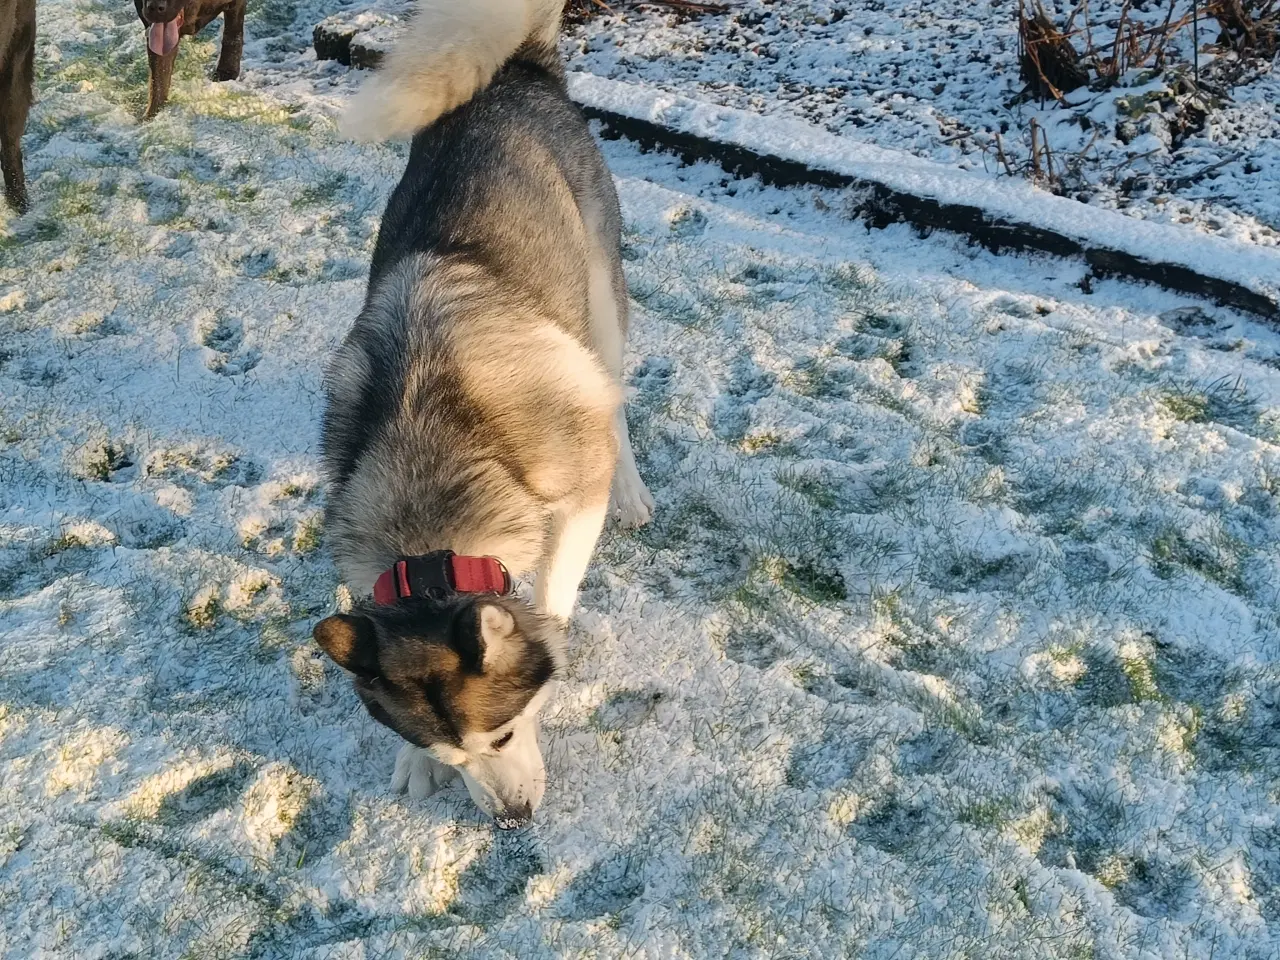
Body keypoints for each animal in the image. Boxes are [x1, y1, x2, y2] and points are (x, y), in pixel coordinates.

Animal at [309, 0, 650, 829]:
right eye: (453, 754)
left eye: (504, 733)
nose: (512, 821)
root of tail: (516, 73)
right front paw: (413, 767)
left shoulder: (573, 489)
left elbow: (552, 592)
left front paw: (549, 637)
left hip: (597, 298)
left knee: (614, 398)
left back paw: (633, 486)